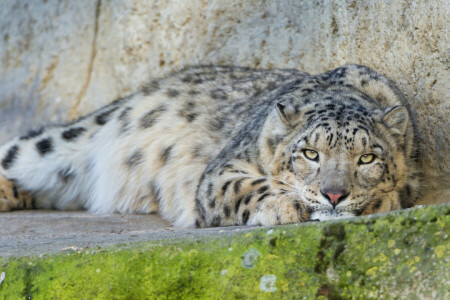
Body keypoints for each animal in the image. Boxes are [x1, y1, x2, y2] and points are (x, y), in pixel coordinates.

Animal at [0, 63, 422, 227]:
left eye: (367, 158)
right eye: (310, 153)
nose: (334, 195)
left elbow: (398, 194)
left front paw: (378, 201)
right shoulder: (219, 173)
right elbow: (245, 188)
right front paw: (284, 206)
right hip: (63, 143)